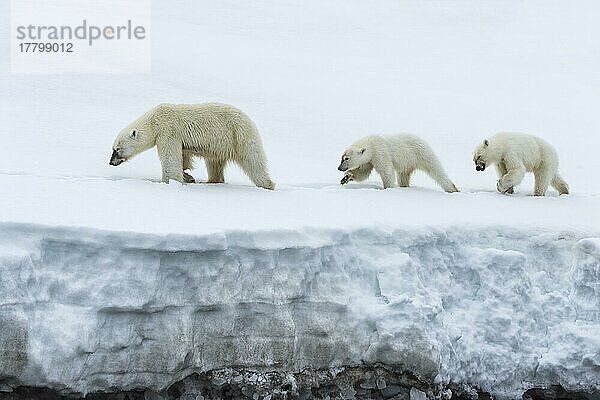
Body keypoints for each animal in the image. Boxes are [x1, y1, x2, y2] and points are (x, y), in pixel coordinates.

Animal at [109, 103, 274, 191]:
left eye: (117, 149)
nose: (110, 162)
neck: (154, 121)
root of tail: (249, 120)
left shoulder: (168, 131)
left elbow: (170, 159)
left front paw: (170, 182)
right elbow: (183, 158)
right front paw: (188, 177)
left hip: (239, 136)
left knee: (253, 161)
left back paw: (267, 185)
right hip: (219, 147)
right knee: (214, 164)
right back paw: (211, 181)